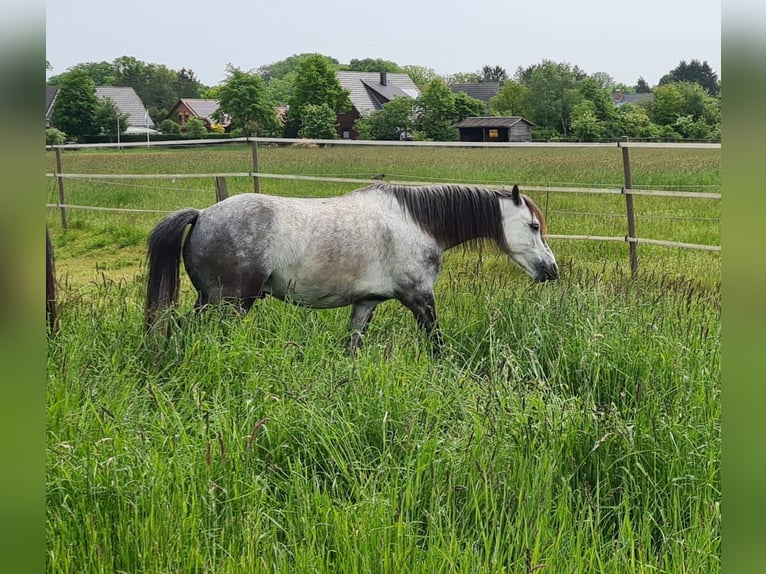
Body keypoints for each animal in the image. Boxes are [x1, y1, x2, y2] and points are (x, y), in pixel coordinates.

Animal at [148, 182, 560, 354]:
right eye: (533, 226)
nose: (551, 270)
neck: (416, 221)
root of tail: (203, 215)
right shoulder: (420, 299)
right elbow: (437, 345)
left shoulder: (366, 304)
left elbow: (352, 347)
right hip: (229, 304)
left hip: (211, 301)